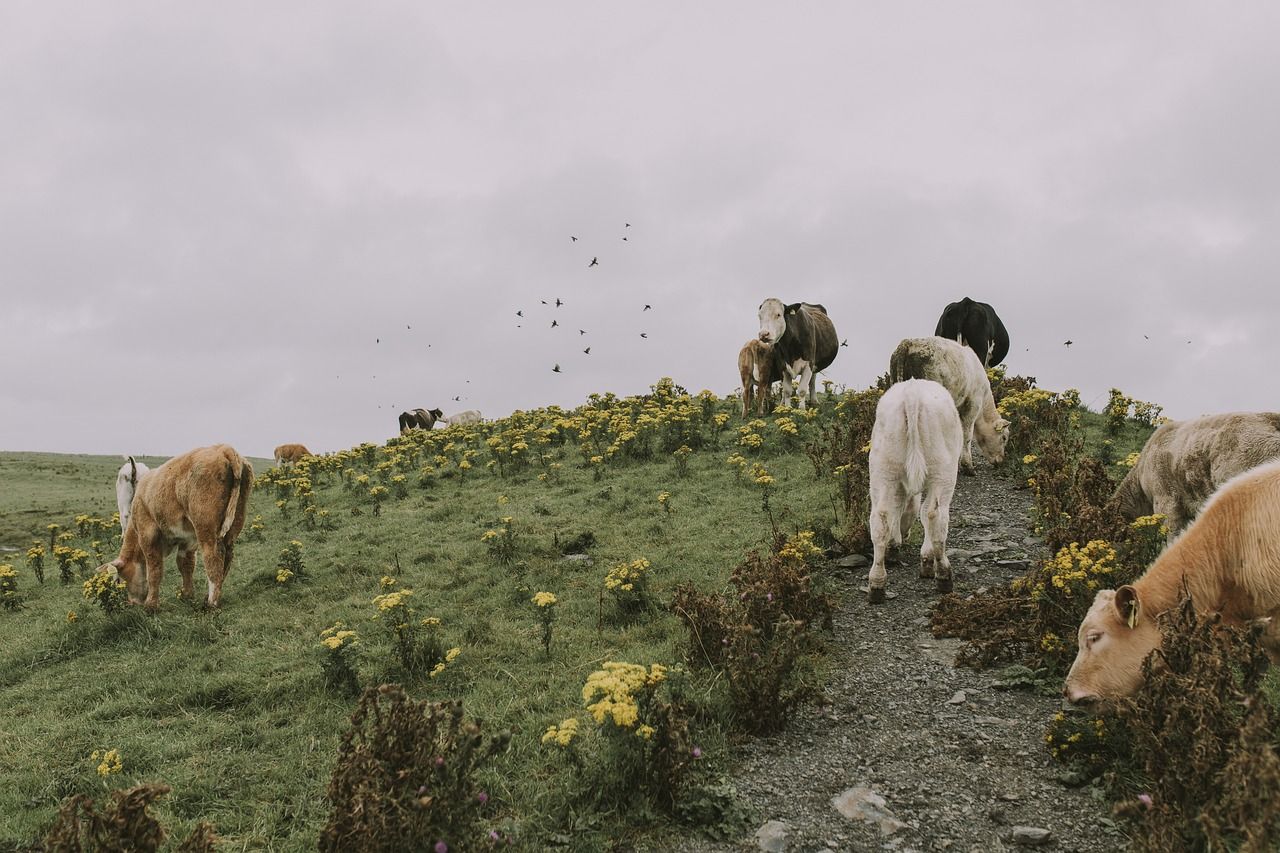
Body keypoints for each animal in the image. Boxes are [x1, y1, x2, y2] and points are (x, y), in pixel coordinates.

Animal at [96, 440, 253, 607]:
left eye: (119, 580)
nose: (132, 603)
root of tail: (223, 448)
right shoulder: (188, 539)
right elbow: (185, 564)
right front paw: (186, 594)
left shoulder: (147, 534)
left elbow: (154, 568)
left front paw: (151, 605)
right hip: (234, 522)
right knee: (228, 555)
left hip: (205, 528)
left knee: (213, 556)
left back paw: (211, 602)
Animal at [865, 376, 962, 601]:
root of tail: (912, 392)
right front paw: (927, 562)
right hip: (943, 471)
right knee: (934, 514)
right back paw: (944, 575)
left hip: (883, 468)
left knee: (881, 518)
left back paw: (877, 584)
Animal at [890, 335, 1008, 473]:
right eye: (1004, 438)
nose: (1000, 461)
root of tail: (908, 343)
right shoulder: (973, 404)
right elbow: (967, 434)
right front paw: (968, 466)